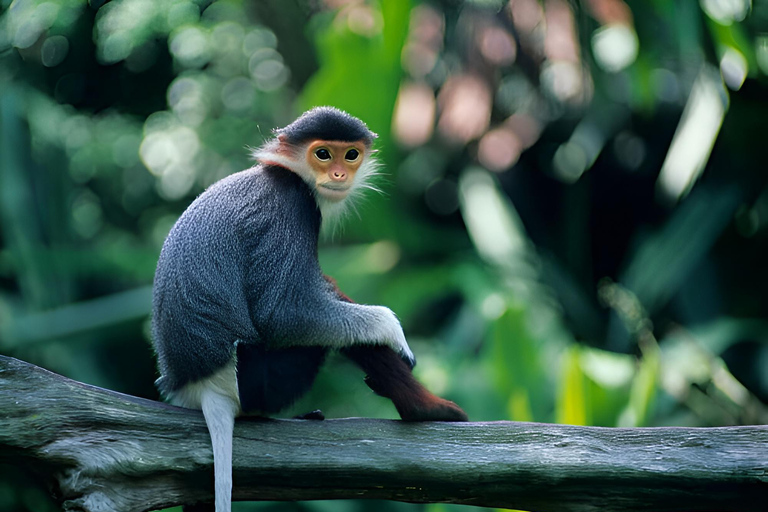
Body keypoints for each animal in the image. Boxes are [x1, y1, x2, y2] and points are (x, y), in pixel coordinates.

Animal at [150, 106, 464, 510]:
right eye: (323, 154)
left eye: (351, 155)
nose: (339, 175)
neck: (287, 173)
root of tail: (201, 388)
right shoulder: (292, 206)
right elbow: (283, 314)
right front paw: (392, 329)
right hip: (259, 379)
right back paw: (425, 409)